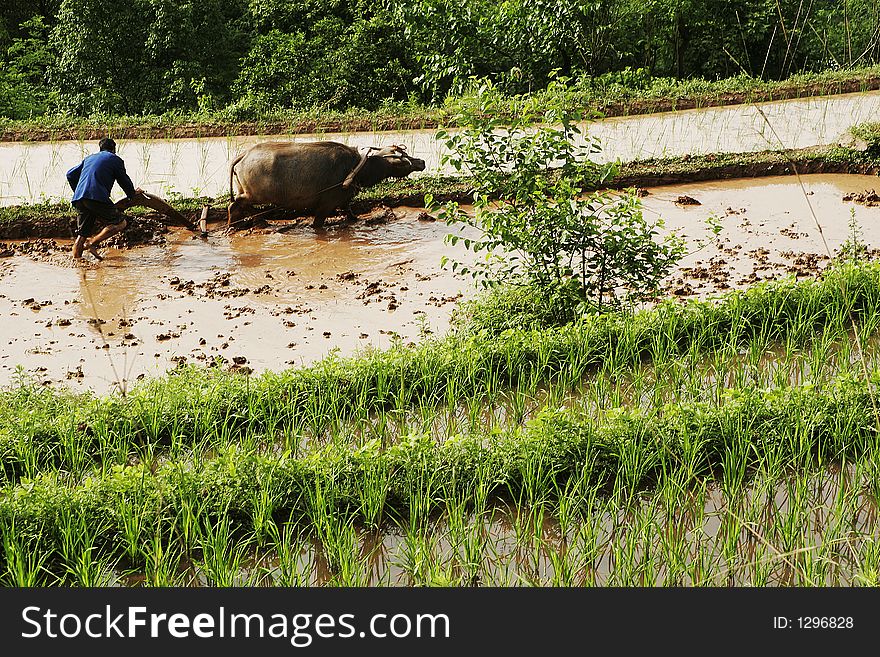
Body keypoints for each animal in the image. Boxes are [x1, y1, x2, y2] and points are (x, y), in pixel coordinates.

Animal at [227, 141, 426, 228]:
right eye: (401, 159)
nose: (421, 162)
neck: (355, 167)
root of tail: (245, 154)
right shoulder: (326, 204)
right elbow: (318, 223)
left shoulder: (344, 200)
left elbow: (350, 212)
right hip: (253, 194)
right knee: (234, 205)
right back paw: (232, 225)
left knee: (244, 207)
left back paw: (260, 222)